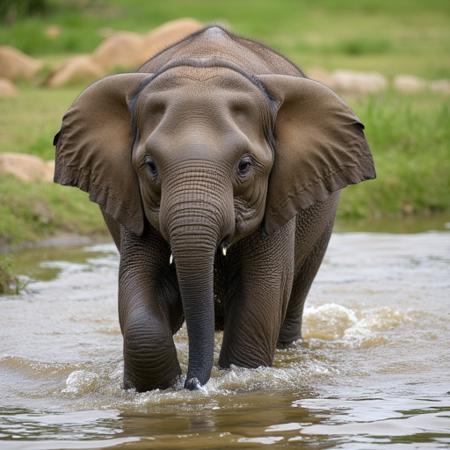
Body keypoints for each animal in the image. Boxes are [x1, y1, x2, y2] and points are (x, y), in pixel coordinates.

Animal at [54, 26, 374, 390]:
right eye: (150, 166)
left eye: (244, 166)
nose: (193, 384)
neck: (205, 64)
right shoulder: (134, 202)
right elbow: (138, 286)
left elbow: (260, 296)